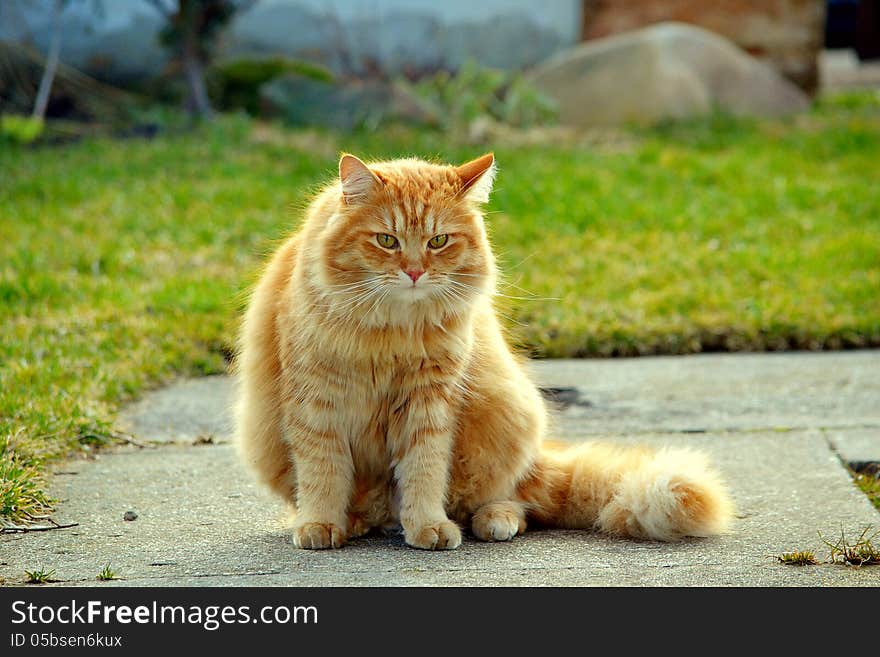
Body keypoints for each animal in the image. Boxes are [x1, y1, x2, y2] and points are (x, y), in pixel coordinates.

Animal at [230, 152, 732, 548]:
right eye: (387, 240)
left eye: (438, 241)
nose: (414, 272)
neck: (392, 332)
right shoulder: (316, 402)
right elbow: (323, 472)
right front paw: (320, 524)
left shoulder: (430, 402)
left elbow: (424, 471)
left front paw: (427, 527)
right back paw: (356, 523)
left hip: (509, 418)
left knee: (516, 503)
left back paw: (491, 520)